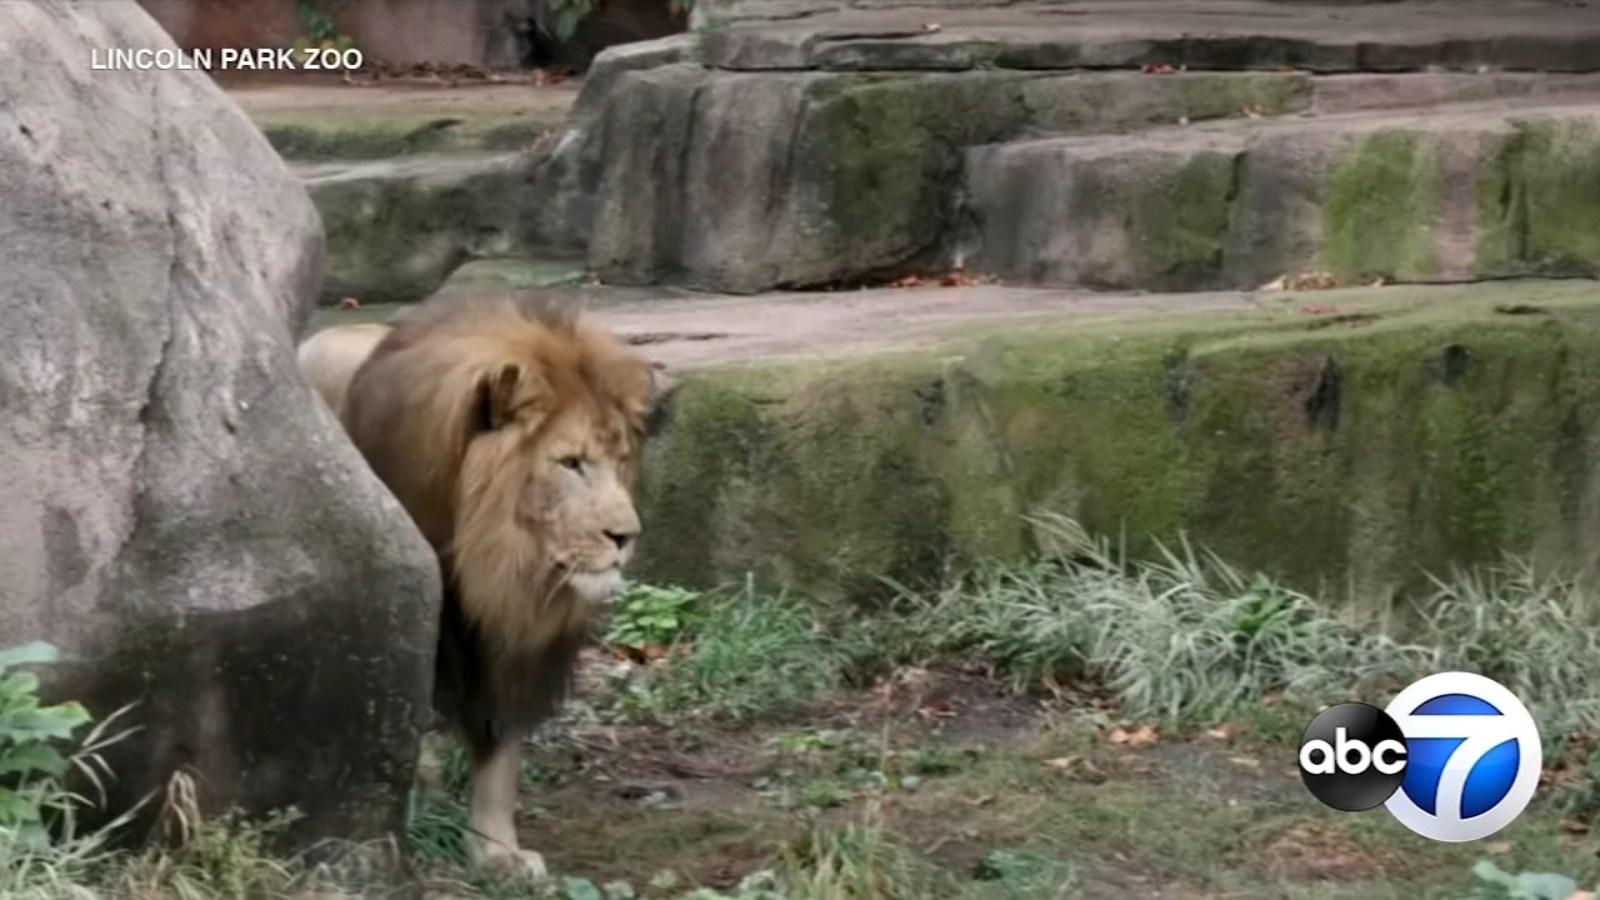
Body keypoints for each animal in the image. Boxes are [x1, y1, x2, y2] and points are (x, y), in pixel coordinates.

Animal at [297, 294, 660, 880]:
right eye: (570, 463)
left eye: (620, 459)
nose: (625, 537)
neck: (497, 562)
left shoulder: (511, 645)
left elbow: (500, 751)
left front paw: (496, 851)